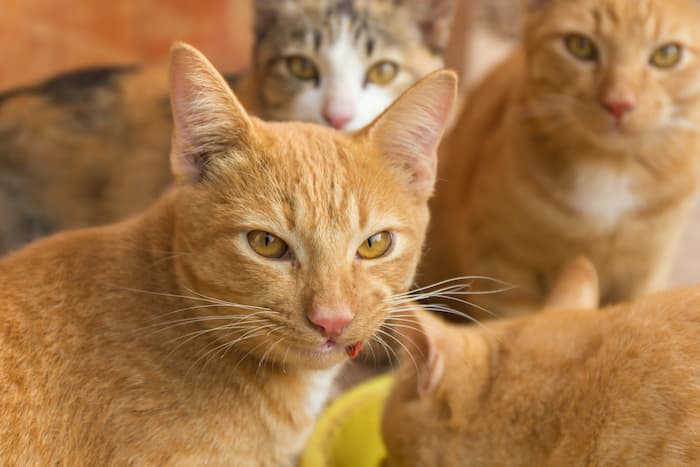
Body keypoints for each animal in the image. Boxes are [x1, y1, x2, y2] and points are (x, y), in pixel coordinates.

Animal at [422, 0, 700, 318]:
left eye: (667, 54)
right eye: (580, 46)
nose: (619, 104)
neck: (609, 166)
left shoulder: (644, 273)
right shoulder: (502, 264)